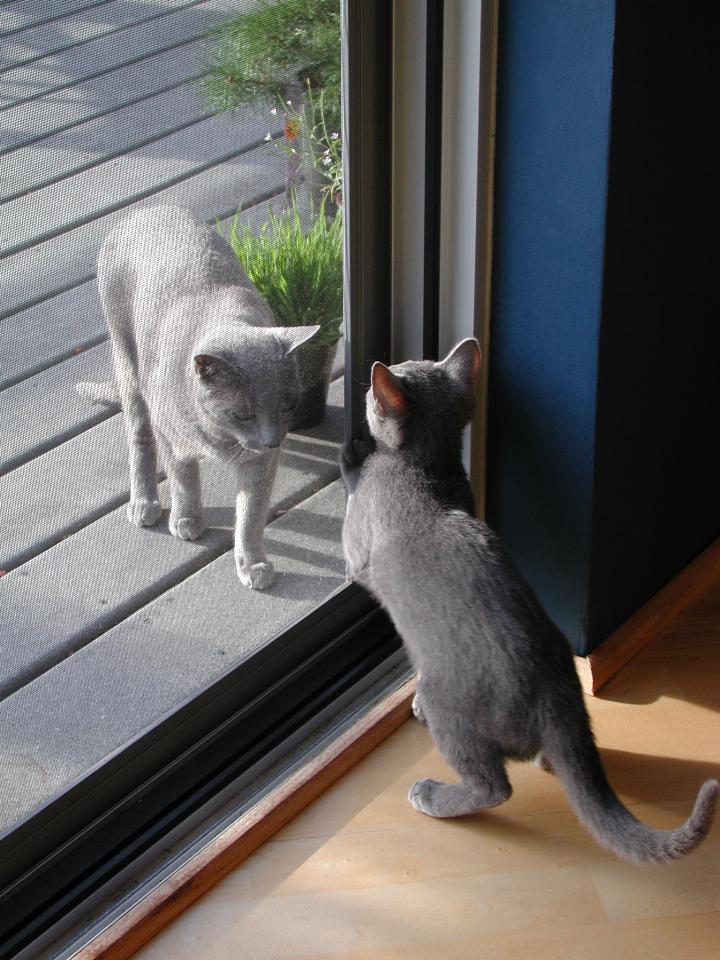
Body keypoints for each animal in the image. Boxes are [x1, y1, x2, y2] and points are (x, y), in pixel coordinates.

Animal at [76, 206, 320, 588]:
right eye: (243, 415)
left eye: (288, 406)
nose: (272, 440)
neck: (219, 438)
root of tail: (143, 210)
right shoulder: (171, 435)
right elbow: (183, 477)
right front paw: (187, 520)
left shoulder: (260, 463)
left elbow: (250, 513)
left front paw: (252, 564)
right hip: (127, 362)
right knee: (139, 435)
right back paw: (144, 503)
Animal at [340, 342, 716, 868]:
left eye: (387, 380)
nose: (380, 373)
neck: (427, 469)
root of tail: (555, 697)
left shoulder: (358, 545)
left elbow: (352, 549)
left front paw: (352, 453)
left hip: (450, 703)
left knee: (493, 786)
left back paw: (433, 793)